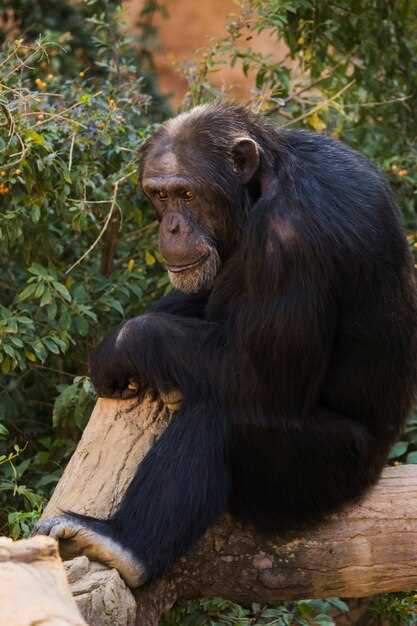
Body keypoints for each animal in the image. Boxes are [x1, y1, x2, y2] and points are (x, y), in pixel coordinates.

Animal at [34, 101, 416, 584]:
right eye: (160, 196)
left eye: (187, 194)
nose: (172, 227)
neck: (264, 186)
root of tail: (377, 469)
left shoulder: (288, 244)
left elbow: (263, 381)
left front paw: (120, 346)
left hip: (326, 474)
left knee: (222, 414)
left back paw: (123, 543)